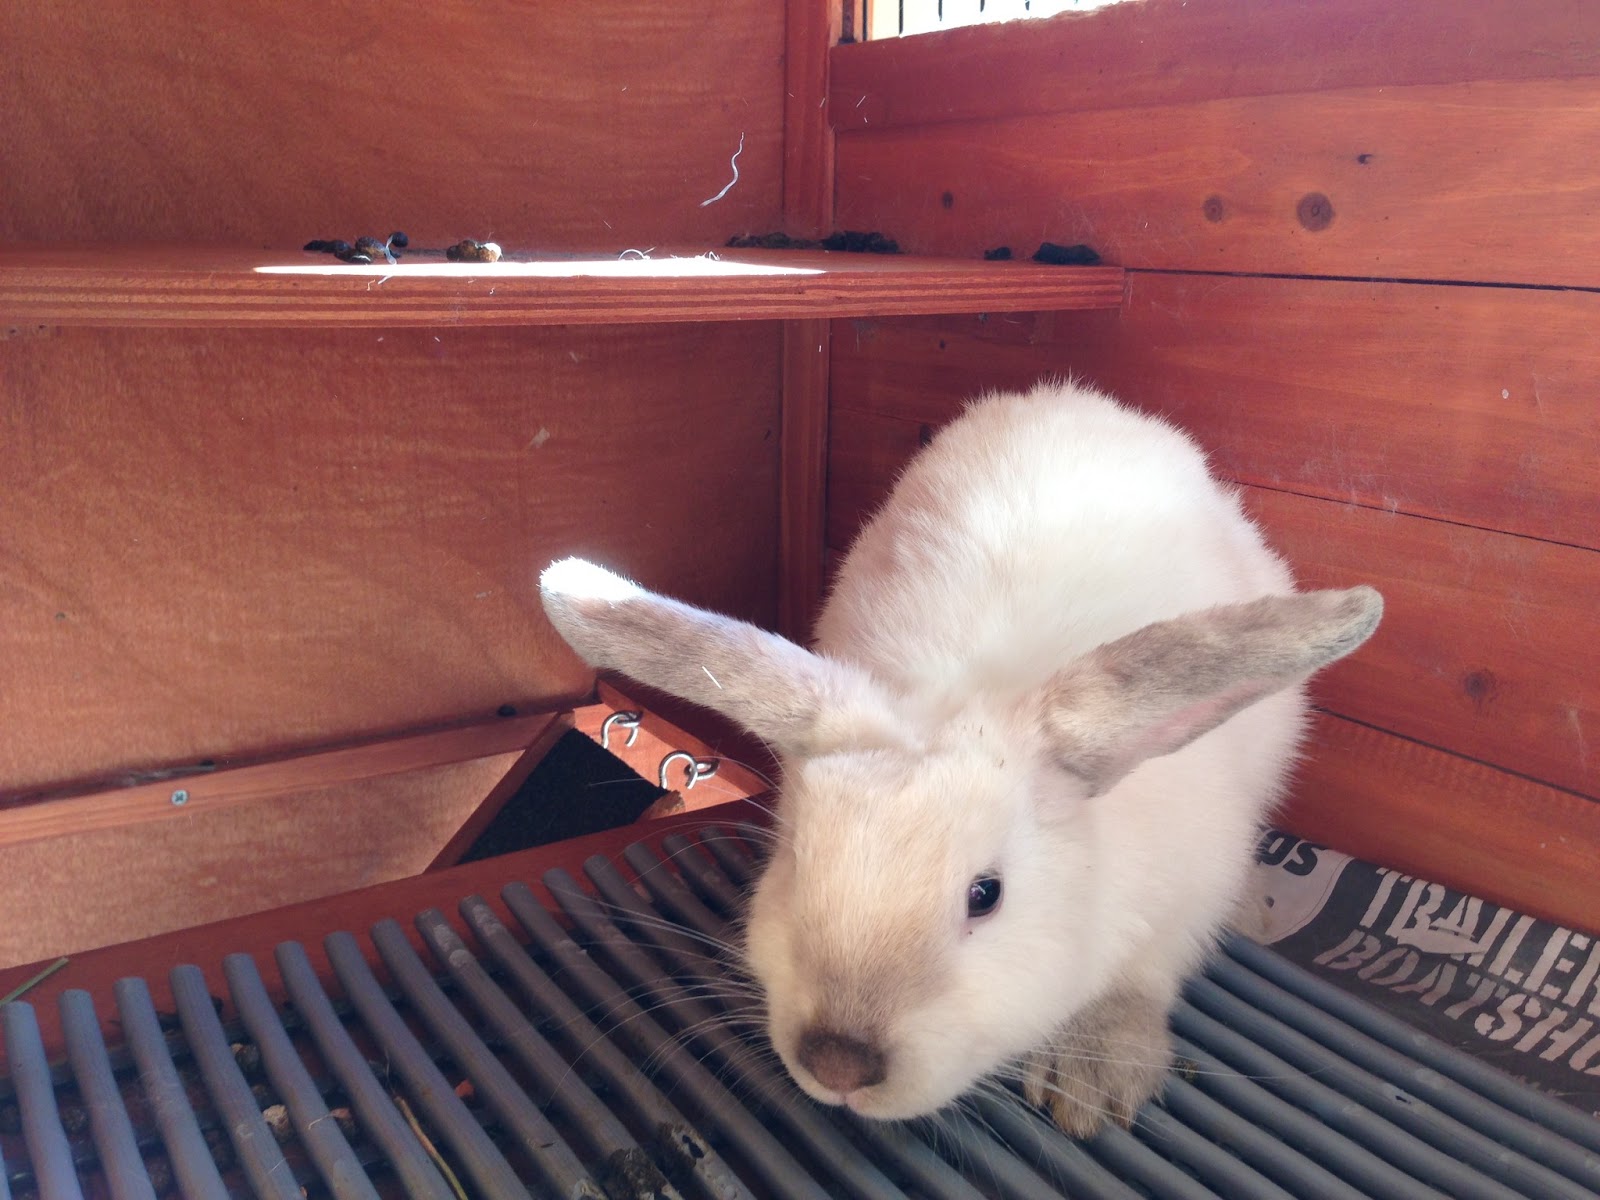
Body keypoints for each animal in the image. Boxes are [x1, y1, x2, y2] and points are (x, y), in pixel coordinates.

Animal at [539, 379, 1382, 1137]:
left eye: (986, 896)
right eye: (794, 861)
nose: (839, 1065)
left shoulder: (1186, 898)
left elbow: (1138, 987)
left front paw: (1093, 1082)